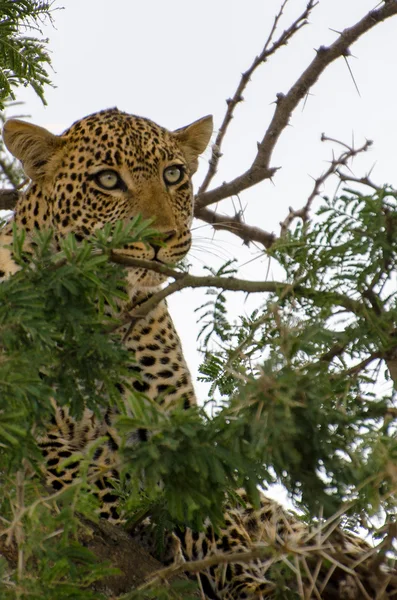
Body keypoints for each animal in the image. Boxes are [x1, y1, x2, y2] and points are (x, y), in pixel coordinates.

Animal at [0, 109, 390, 600]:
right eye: (107, 179)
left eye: (173, 175)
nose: (160, 238)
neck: (103, 307)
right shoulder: (29, 424)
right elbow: (88, 477)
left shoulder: (174, 432)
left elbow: (217, 522)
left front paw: (243, 578)